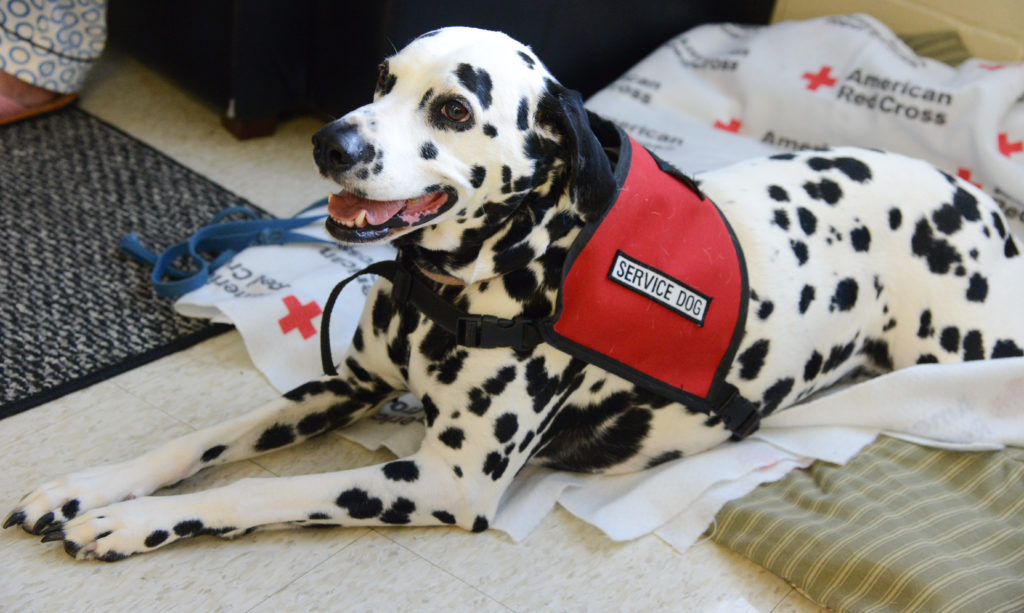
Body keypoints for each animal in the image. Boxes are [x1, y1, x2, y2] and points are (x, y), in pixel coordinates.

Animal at [4, 27, 1019, 560]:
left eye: (454, 108)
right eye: (381, 79)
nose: (331, 142)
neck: (455, 290)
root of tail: (982, 202)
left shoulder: (444, 479)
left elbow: (257, 491)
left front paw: (132, 521)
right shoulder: (347, 384)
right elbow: (202, 440)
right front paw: (91, 486)